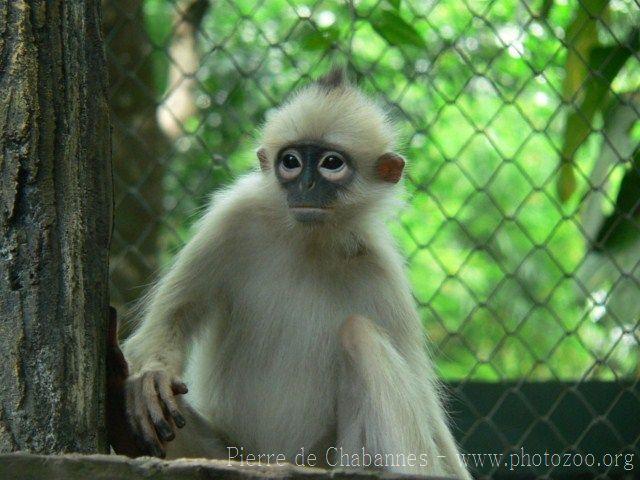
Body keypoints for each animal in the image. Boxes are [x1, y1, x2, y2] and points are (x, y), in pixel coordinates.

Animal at [119, 68, 470, 480]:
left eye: (331, 163)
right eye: (291, 161)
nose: (305, 184)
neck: (309, 243)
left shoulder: (381, 270)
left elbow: (427, 410)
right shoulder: (232, 217)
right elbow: (166, 322)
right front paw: (152, 378)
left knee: (360, 334)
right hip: (227, 454)